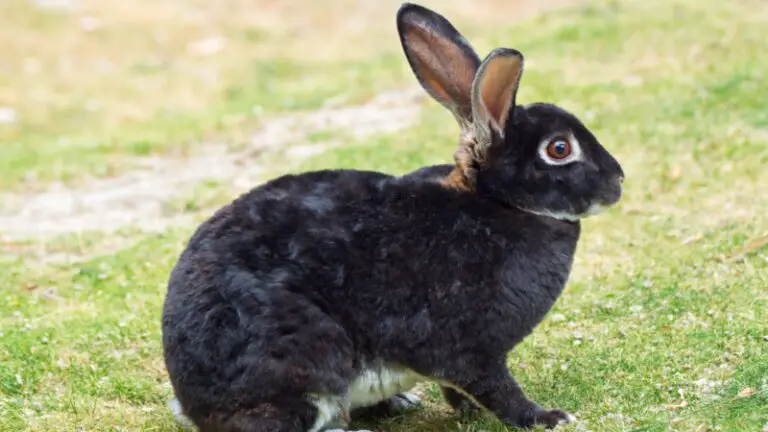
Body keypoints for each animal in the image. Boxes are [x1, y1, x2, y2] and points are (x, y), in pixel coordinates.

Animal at [161, 2, 625, 432]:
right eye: (559, 149)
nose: (618, 181)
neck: (500, 204)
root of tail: (193, 405)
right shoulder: (470, 349)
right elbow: (497, 388)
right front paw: (547, 417)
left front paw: (467, 411)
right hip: (305, 359)